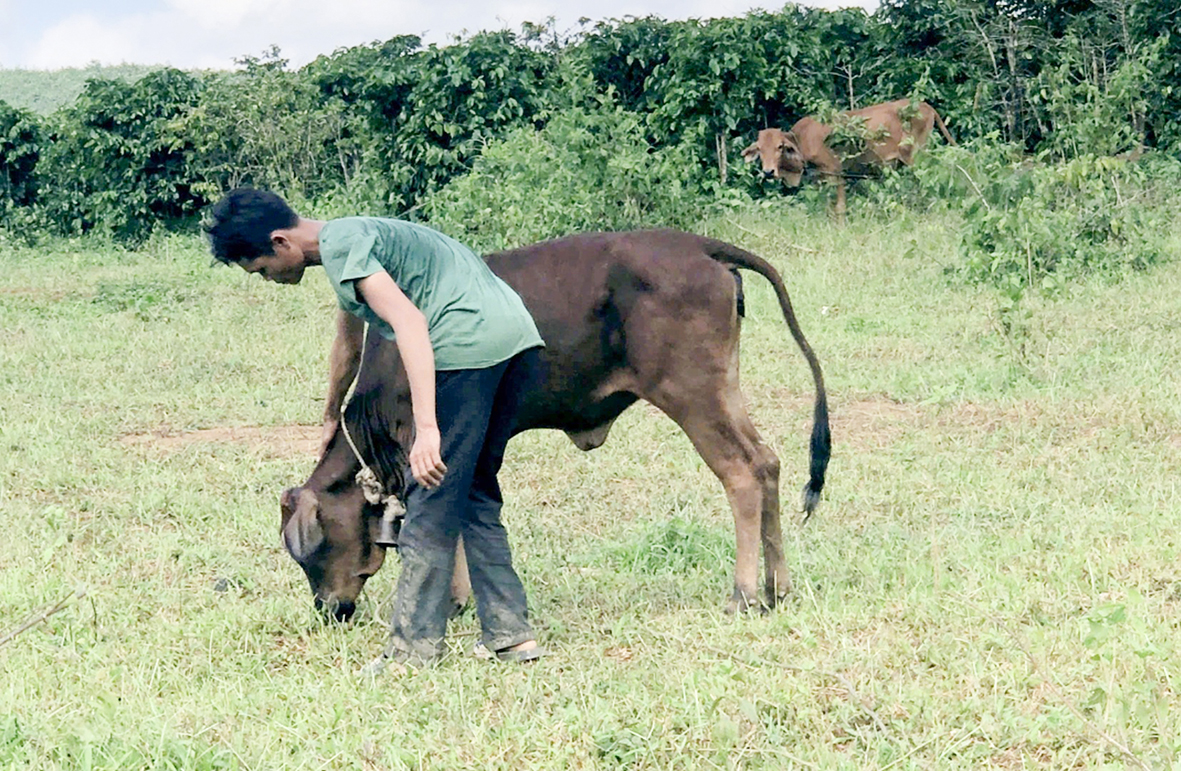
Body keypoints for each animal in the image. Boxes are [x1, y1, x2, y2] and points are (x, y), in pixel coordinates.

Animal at [741, 98, 954, 219]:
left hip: (916, 156)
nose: (768, 172)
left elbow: (840, 207)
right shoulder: (818, 177)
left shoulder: (835, 171)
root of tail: (926, 106)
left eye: (780, 147)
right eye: (759, 149)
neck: (801, 140)